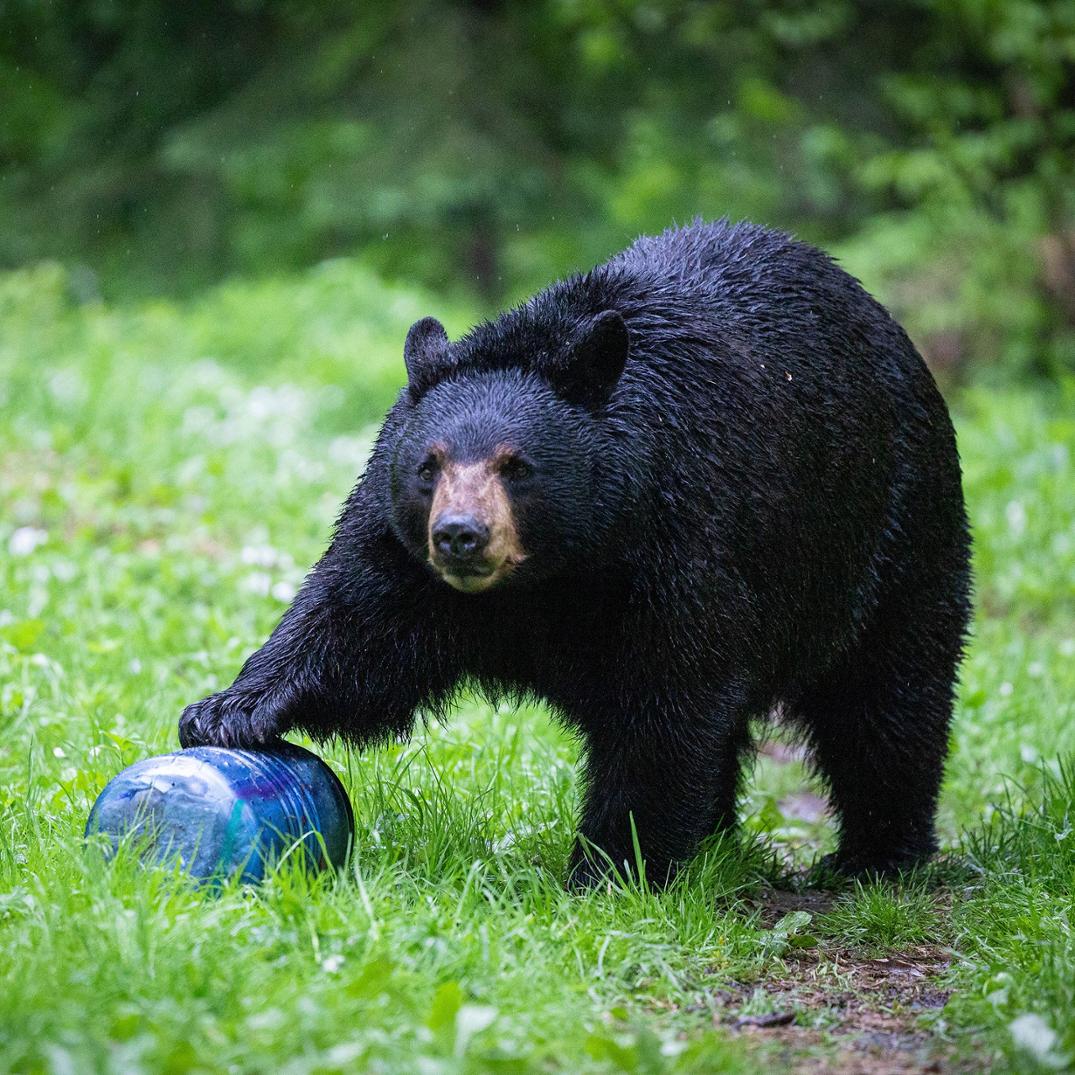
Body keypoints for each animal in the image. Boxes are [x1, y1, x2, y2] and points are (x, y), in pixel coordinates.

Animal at [180, 219, 972, 889]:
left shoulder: (684, 541)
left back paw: (876, 855)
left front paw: (611, 866)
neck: (564, 565)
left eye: (516, 464)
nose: (460, 534)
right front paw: (229, 710)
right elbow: (357, 625)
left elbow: (664, 703)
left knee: (889, 697)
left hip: (892, 532)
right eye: (430, 464)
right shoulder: (401, 547)